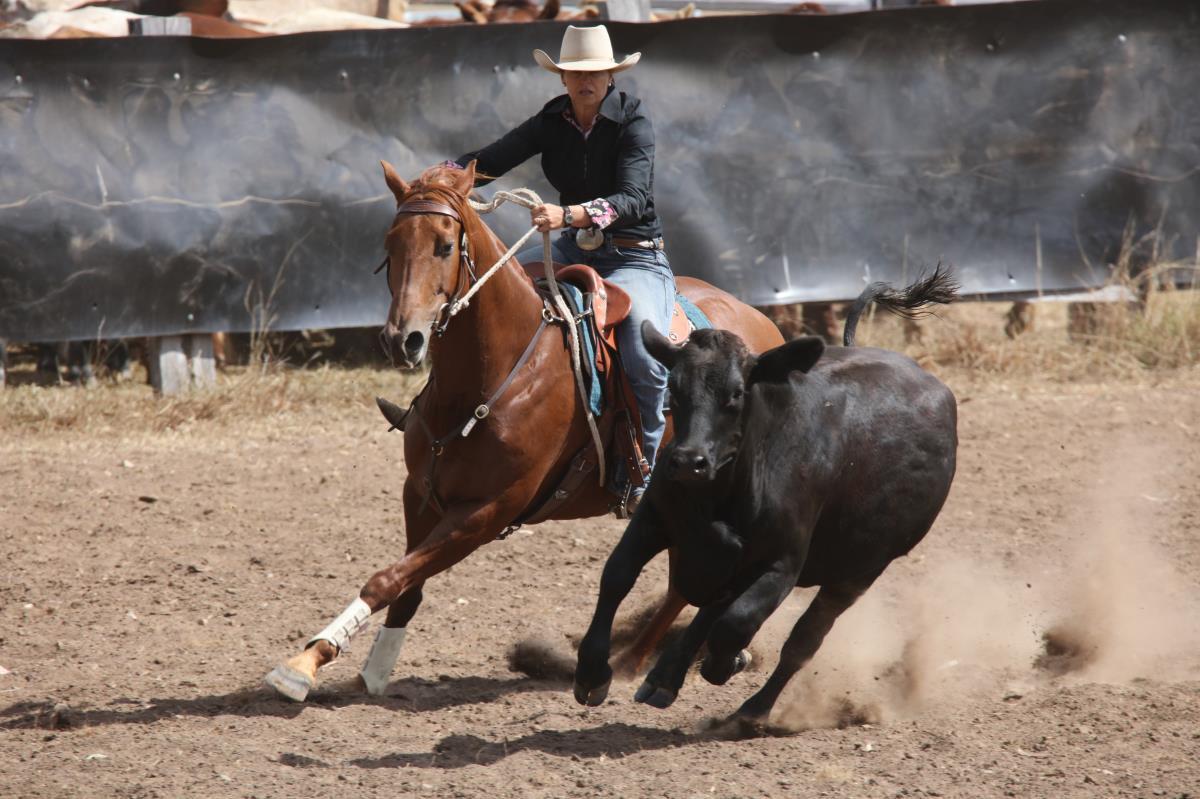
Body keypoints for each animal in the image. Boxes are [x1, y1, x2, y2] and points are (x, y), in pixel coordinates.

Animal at [263, 161, 783, 701]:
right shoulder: (420, 494)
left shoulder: (487, 513)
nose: (402, 339)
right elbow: (408, 585)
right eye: (391, 244)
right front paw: (372, 670)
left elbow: (387, 580)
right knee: (686, 581)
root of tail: (765, 325)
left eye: (444, 246)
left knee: (692, 582)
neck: (493, 374)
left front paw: (304, 662)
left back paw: (631, 664)